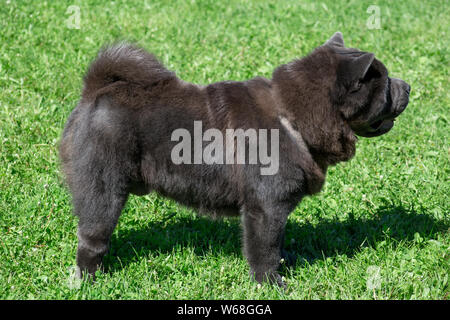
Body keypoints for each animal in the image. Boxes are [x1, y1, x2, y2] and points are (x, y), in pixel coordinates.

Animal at [60, 32, 412, 286]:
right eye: (384, 83)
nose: (407, 85)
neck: (292, 116)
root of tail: (95, 93)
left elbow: (276, 246)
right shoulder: (266, 208)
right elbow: (265, 249)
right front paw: (272, 284)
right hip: (103, 191)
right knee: (92, 239)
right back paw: (89, 281)